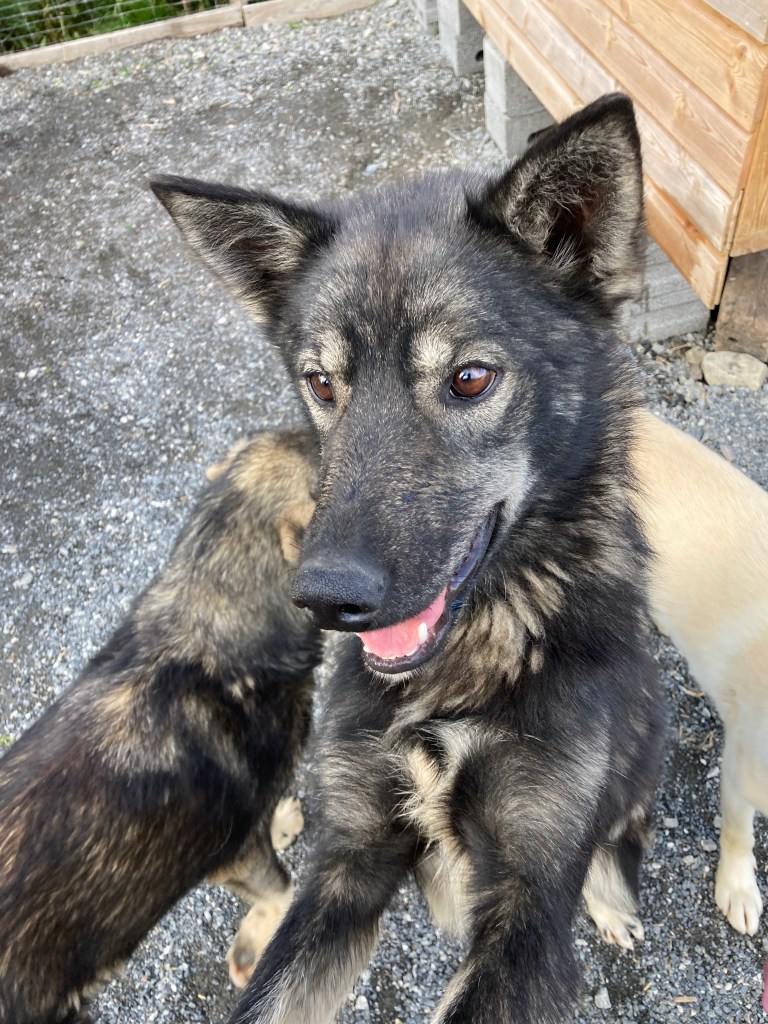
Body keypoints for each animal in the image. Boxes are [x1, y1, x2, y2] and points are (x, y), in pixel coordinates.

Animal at [152, 93, 668, 1024]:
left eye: (469, 378)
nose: (325, 598)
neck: (466, 664)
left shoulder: (529, 904)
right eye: (322, 383)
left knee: (621, 841)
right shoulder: (347, 866)